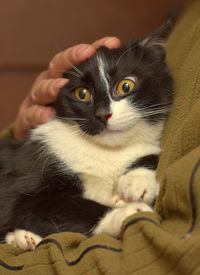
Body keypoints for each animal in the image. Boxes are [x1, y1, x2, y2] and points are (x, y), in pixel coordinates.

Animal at [0, 24, 173, 251]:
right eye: (82, 94)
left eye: (126, 86)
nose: (102, 114)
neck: (106, 152)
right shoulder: (27, 181)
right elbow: (50, 207)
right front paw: (125, 213)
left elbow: (150, 153)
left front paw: (137, 182)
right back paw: (21, 239)